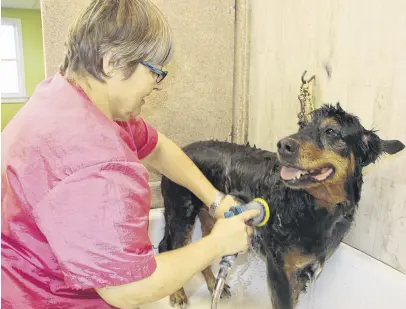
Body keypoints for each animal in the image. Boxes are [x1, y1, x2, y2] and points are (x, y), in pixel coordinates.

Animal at [157, 102, 404, 306]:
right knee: (169, 247)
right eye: (302, 126)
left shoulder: (302, 271)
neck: (312, 208)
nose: (283, 145)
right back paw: (178, 294)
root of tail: (182, 149)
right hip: (180, 213)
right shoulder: (280, 271)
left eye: (331, 131)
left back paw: (212, 286)